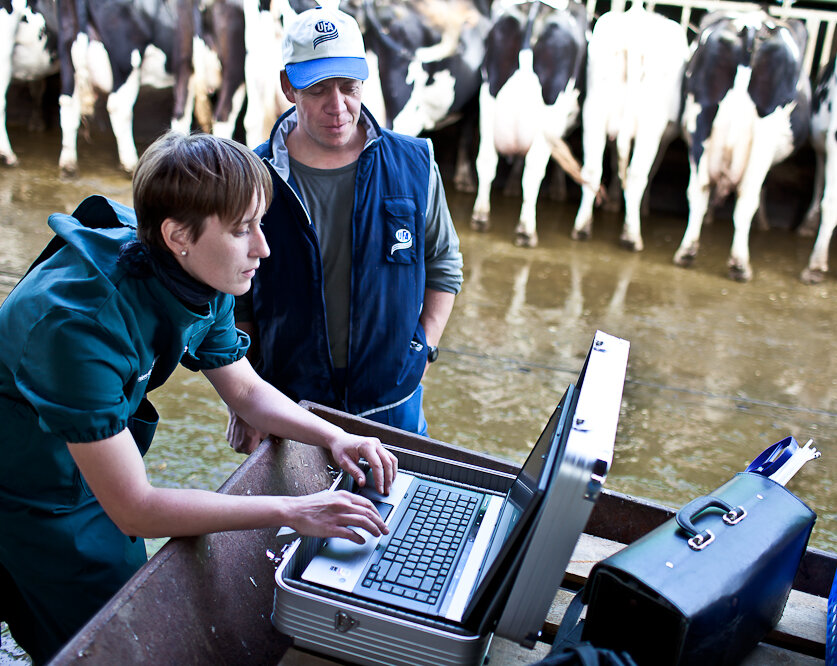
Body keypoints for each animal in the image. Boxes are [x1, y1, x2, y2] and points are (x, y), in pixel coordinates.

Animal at [470, 0, 588, 248]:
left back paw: (481, 217)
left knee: (486, 160)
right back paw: (526, 231)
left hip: (488, 97)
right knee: (534, 168)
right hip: (551, 109)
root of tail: (536, 8)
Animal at [572, 5, 688, 250]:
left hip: (594, 110)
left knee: (593, 169)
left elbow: (616, 161)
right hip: (650, 124)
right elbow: (648, 171)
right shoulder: (663, 138)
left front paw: (614, 200)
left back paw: (582, 228)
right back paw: (631, 237)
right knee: (636, 175)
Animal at [680, 10, 808, 280]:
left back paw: (687, 252)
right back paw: (739, 264)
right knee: (747, 195)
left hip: (702, 118)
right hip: (765, 128)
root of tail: (752, 24)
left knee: (700, 187)